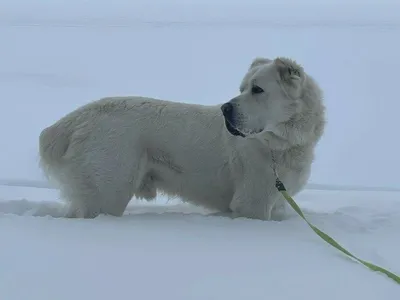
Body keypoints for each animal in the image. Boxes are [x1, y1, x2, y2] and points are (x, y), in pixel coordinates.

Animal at [38, 56, 324, 220]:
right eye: (243, 88)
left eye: (257, 89)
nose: (225, 108)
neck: (281, 142)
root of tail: (76, 118)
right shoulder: (252, 203)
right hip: (108, 193)